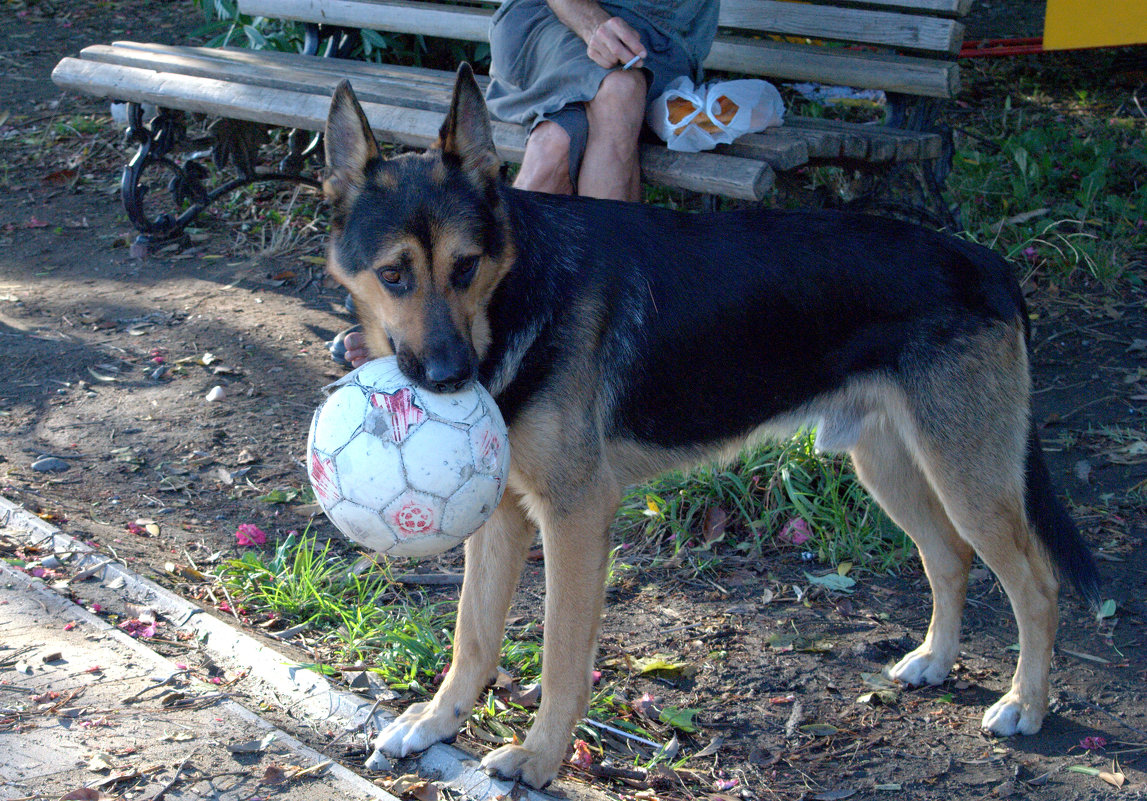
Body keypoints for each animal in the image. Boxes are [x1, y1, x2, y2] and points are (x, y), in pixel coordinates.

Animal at [325, 63, 1101, 784]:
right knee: (949, 557)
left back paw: (1025, 704)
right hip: (890, 466)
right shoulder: (502, 514)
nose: (451, 378)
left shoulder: (575, 516)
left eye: (465, 266)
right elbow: (474, 634)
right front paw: (436, 722)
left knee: (1036, 585)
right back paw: (936, 660)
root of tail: (986, 260)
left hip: (967, 479)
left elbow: (561, 655)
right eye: (394, 274)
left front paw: (541, 757)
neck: (521, 287)